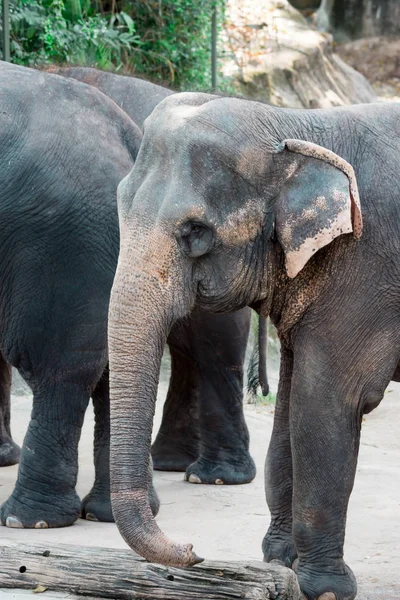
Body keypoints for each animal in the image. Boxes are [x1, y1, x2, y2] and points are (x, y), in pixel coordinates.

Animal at [108, 90, 400, 600]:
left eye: (195, 232)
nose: (193, 549)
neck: (295, 127)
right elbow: (289, 406)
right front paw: (280, 561)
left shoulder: (364, 267)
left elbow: (326, 404)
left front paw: (325, 589)